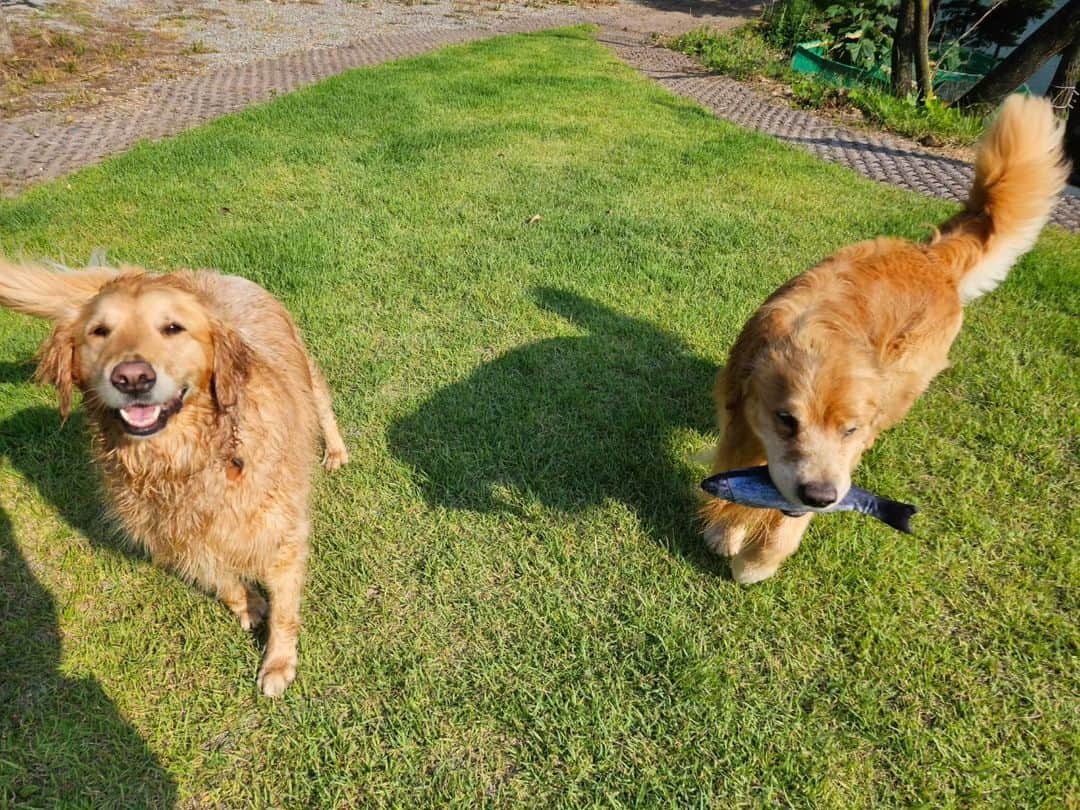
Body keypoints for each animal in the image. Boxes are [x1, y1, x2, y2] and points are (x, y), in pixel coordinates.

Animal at [0, 266, 347, 699]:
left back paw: (336, 452)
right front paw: (248, 605)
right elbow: (222, 581)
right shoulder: (175, 537)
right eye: (100, 331)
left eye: (172, 328)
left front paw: (278, 664)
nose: (132, 378)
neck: (184, 460)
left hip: (307, 373)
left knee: (324, 409)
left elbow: (284, 611)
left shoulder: (280, 532)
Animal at [704, 96, 1067, 583]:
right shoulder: (742, 414)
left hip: (903, 383)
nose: (820, 496)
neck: (823, 331)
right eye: (786, 420)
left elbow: (787, 516)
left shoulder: (838, 462)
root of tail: (933, 256)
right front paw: (727, 531)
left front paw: (759, 560)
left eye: (849, 429)